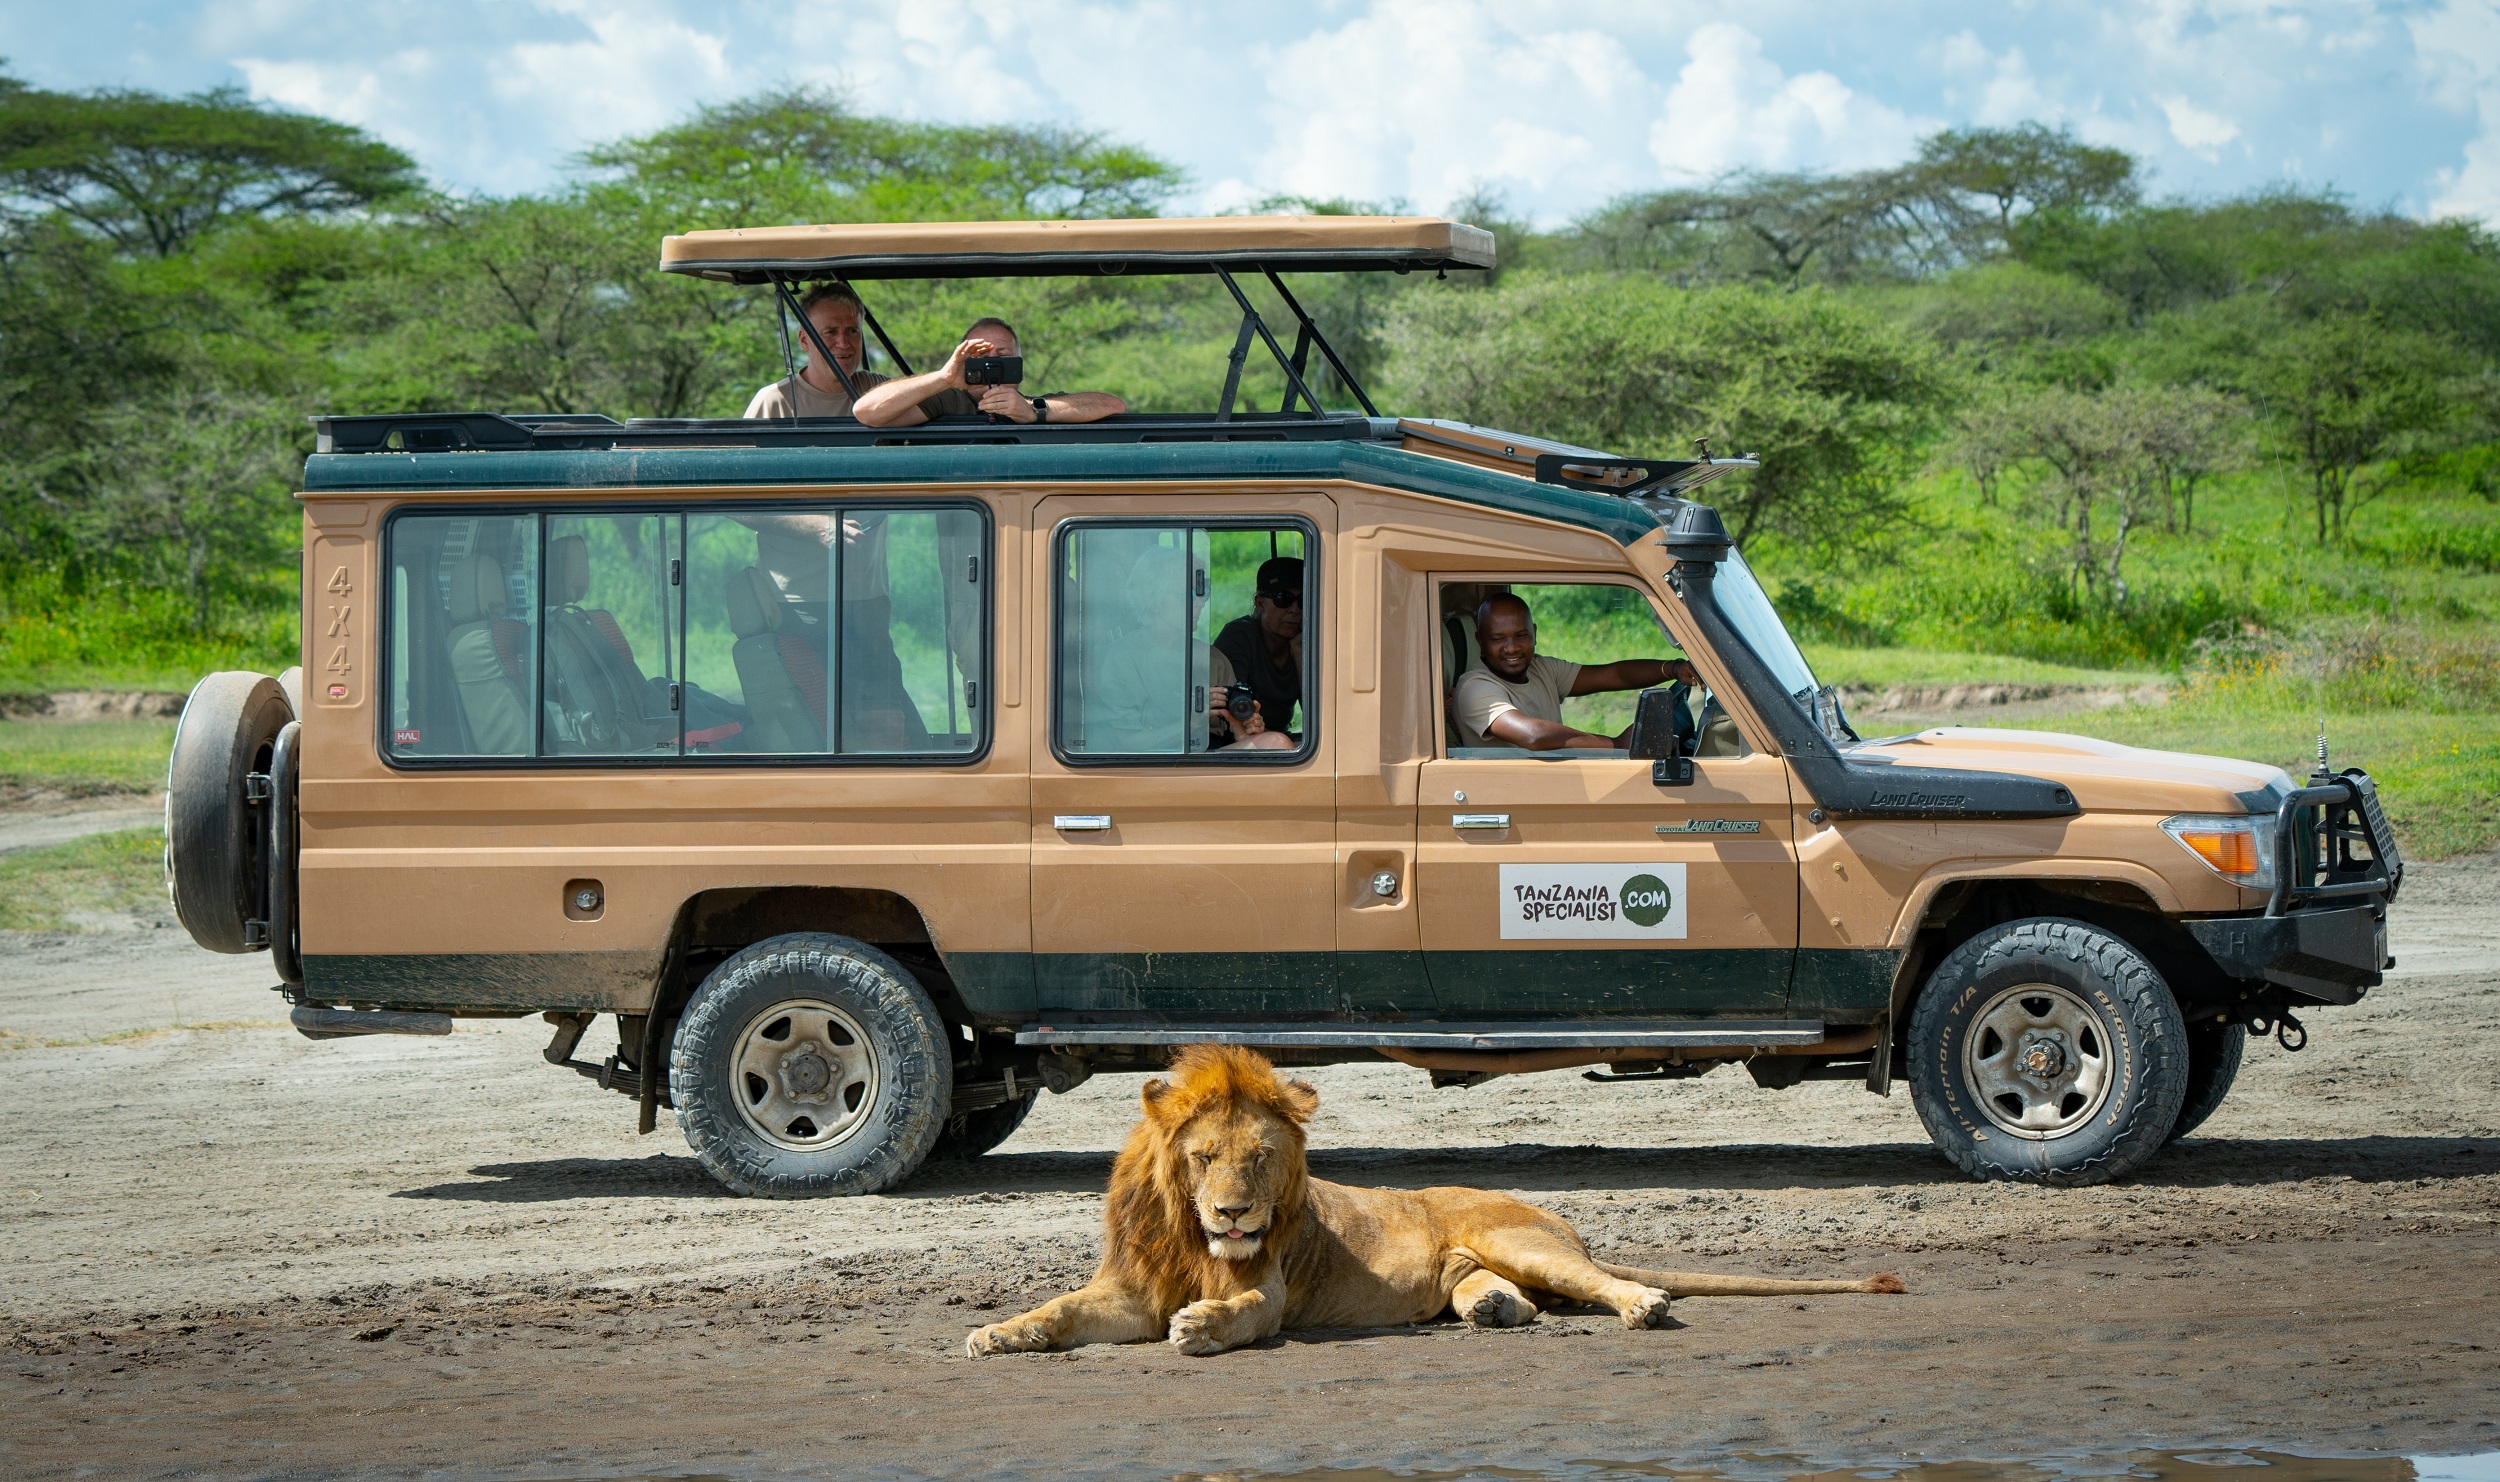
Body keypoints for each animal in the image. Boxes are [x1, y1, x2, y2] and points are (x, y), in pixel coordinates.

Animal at [966, 1044, 1904, 1358]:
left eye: (1260, 1158)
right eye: (1203, 1159)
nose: (1234, 1214)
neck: (1193, 1237)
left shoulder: (1267, 1292)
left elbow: (1237, 1313)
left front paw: (1199, 1326)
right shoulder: (1128, 1289)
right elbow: (1058, 1309)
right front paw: (998, 1333)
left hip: (1522, 1239)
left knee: (1607, 1284)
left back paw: (1643, 1303)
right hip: (1485, 1265)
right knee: (1519, 1299)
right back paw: (1492, 1310)